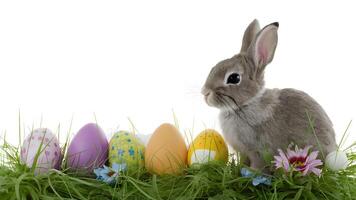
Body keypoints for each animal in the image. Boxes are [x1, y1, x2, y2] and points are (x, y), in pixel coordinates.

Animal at [203, 19, 336, 170]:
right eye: (213, 68)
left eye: (234, 78)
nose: (205, 92)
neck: (245, 105)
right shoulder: (243, 152)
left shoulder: (257, 151)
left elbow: (257, 165)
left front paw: (251, 172)